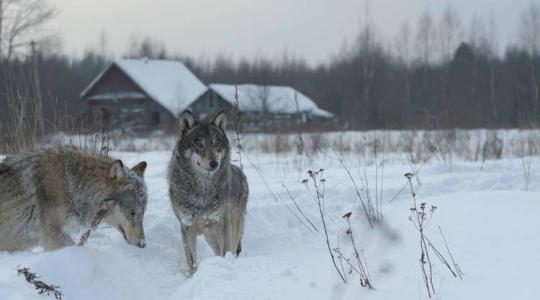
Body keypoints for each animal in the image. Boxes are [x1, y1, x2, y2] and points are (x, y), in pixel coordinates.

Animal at [169, 110, 249, 276]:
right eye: (199, 145)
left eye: (216, 144)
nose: (214, 163)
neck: (202, 190)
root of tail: (241, 173)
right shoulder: (186, 226)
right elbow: (191, 260)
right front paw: (192, 277)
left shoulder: (221, 223)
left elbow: (225, 252)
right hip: (209, 236)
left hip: (232, 227)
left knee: (231, 250)